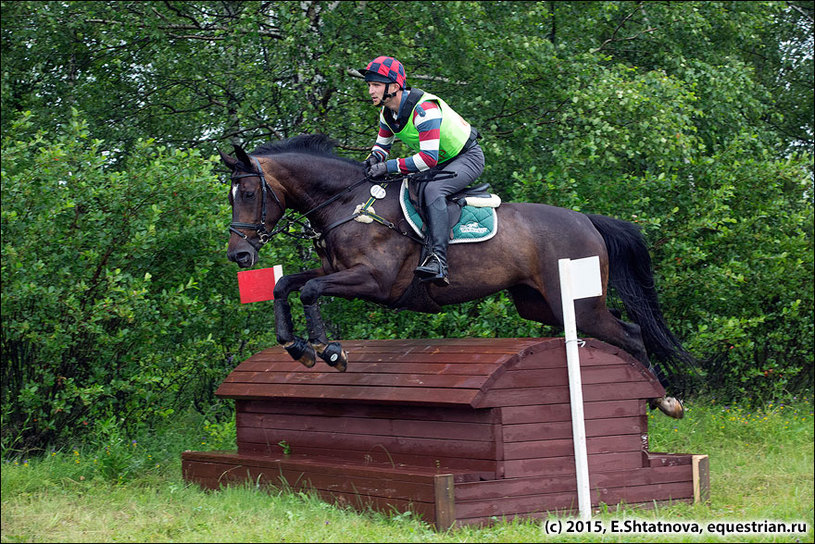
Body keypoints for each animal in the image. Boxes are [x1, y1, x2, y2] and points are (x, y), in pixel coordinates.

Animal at [223, 134, 696, 418]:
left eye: (247, 193)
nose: (239, 254)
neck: (349, 202)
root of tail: (587, 220)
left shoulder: (373, 281)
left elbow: (310, 292)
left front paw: (329, 351)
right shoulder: (334, 270)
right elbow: (285, 285)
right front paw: (296, 347)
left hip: (578, 303)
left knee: (631, 333)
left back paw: (664, 400)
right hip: (541, 305)